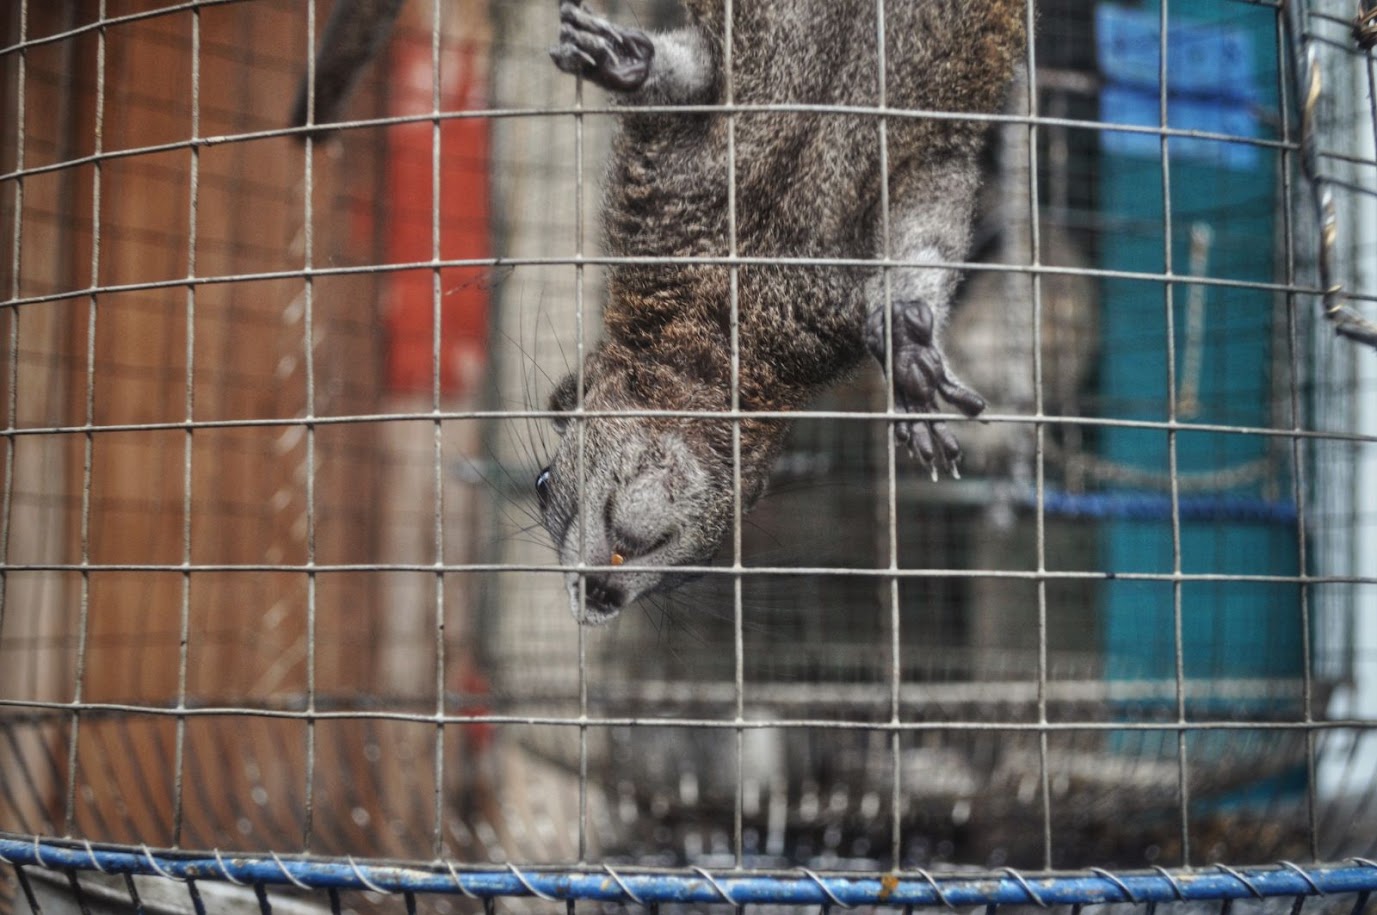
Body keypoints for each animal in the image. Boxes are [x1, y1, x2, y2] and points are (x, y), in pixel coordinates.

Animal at [293, 0, 1024, 625]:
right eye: (540, 485)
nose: (595, 598)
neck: (723, 331)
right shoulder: (671, 170)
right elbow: (690, 80)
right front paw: (627, 60)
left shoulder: (905, 167)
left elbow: (928, 223)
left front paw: (906, 348)